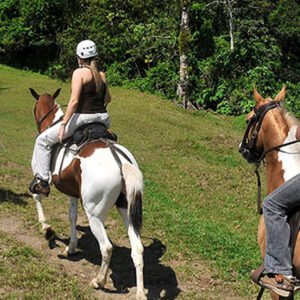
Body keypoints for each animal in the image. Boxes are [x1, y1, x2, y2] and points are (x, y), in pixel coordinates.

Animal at [29, 88, 146, 298]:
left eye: (35, 108)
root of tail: (120, 161)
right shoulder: (73, 193)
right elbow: (72, 216)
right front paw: (71, 247)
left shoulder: (43, 179)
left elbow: (37, 196)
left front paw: (47, 229)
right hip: (126, 209)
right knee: (137, 248)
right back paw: (141, 292)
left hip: (94, 215)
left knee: (106, 247)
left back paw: (99, 281)